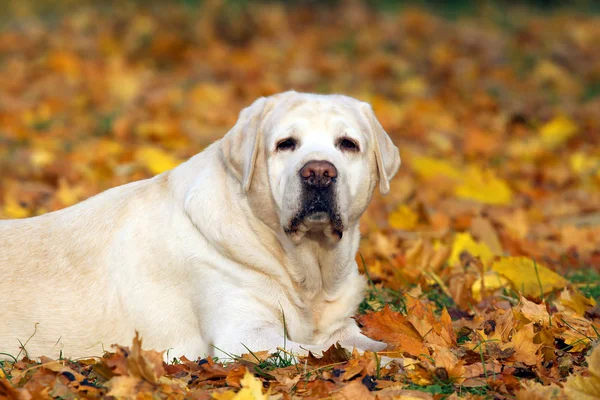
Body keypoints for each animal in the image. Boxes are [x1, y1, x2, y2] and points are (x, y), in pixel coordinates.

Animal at [1, 90, 404, 360]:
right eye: (285, 144)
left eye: (348, 144)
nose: (319, 172)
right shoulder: (246, 336)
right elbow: (323, 353)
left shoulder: (340, 326)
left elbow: (363, 343)